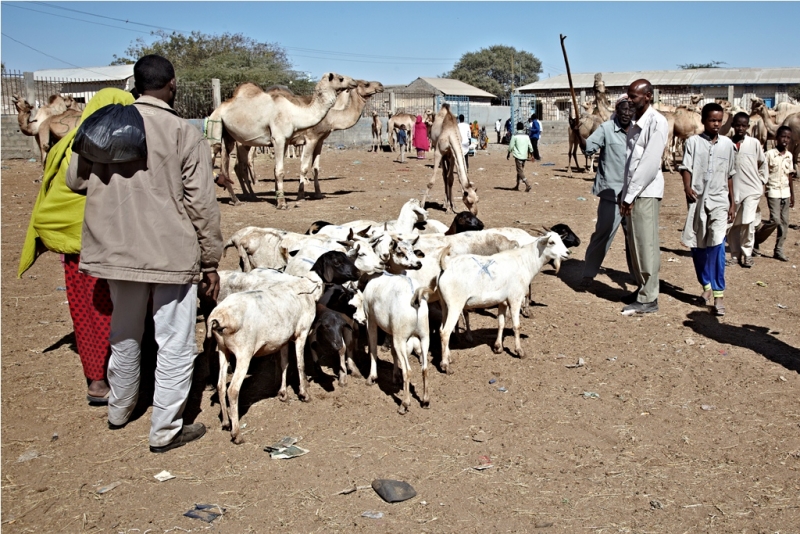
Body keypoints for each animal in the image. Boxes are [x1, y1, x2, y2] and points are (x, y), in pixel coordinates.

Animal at [212, 72, 356, 210]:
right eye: (341, 78)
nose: (354, 82)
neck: (295, 114)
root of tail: (218, 108)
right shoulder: (279, 138)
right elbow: (280, 171)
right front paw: (282, 204)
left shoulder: (286, 141)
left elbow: (276, 169)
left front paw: (278, 198)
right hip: (217, 126)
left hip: (229, 136)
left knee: (225, 167)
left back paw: (236, 200)